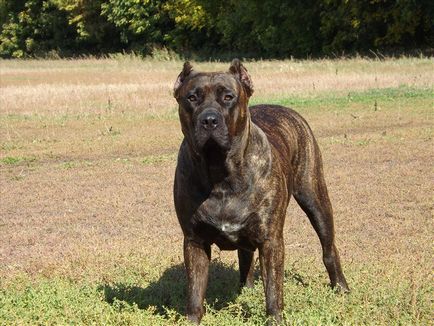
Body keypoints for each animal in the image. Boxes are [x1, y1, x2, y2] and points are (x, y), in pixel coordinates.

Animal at [173, 59, 350, 324]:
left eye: (228, 97)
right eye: (192, 98)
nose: (209, 120)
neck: (220, 171)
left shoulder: (271, 241)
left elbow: (273, 291)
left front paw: (274, 318)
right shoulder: (195, 241)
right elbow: (195, 293)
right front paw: (192, 319)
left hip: (315, 199)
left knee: (328, 247)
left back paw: (340, 286)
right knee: (245, 256)